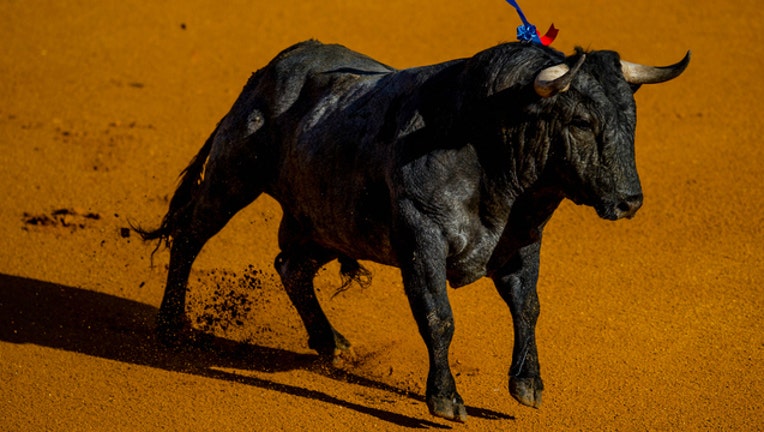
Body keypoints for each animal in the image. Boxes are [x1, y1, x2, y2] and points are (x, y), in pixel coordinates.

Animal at [137, 39, 689, 422]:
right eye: (579, 121)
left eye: (631, 117)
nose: (629, 201)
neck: (489, 148)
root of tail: (266, 73)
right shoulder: (421, 239)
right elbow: (438, 317)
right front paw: (445, 400)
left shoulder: (523, 240)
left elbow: (527, 307)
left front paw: (528, 384)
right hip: (233, 177)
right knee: (191, 236)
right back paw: (173, 326)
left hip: (327, 221)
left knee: (291, 265)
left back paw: (331, 342)